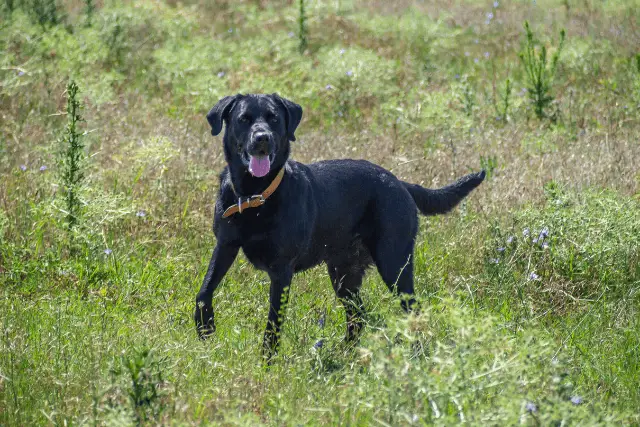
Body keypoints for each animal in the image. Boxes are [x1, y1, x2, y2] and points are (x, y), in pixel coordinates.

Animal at [195, 94, 484, 362]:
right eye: (244, 119)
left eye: (273, 118)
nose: (262, 138)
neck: (254, 196)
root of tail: (400, 182)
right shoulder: (225, 245)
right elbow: (204, 291)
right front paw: (205, 328)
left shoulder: (281, 270)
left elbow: (273, 322)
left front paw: (267, 362)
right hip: (344, 274)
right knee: (359, 316)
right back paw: (343, 353)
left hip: (394, 264)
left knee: (412, 310)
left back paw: (414, 354)